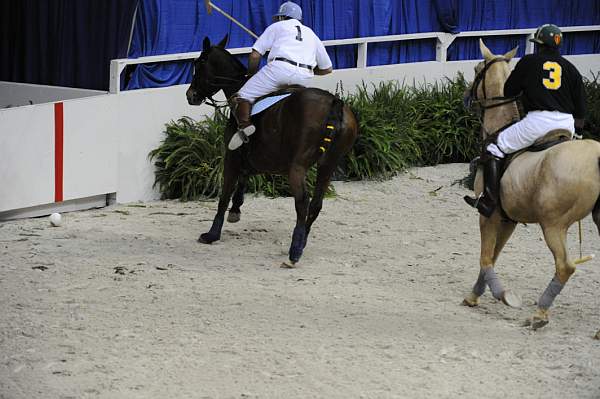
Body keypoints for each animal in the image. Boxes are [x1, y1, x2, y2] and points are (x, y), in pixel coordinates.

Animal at [185, 35, 358, 266]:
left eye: (199, 64)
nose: (191, 95)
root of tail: (334, 103)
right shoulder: (261, 158)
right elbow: (244, 179)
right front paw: (236, 210)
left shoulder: (232, 158)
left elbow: (224, 195)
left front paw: (212, 234)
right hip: (327, 165)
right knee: (316, 204)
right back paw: (302, 241)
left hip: (298, 166)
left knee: (302, 202)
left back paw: (294, 251)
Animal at [464, 39, 600, 330]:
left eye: (477, 68)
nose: (466, 98)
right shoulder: (508, 219)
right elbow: (493, 256)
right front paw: (476, 295)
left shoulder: (488, 215)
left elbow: (485, 258)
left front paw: (501, 295)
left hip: (554, 225)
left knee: (565, 265)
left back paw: (539, 314)